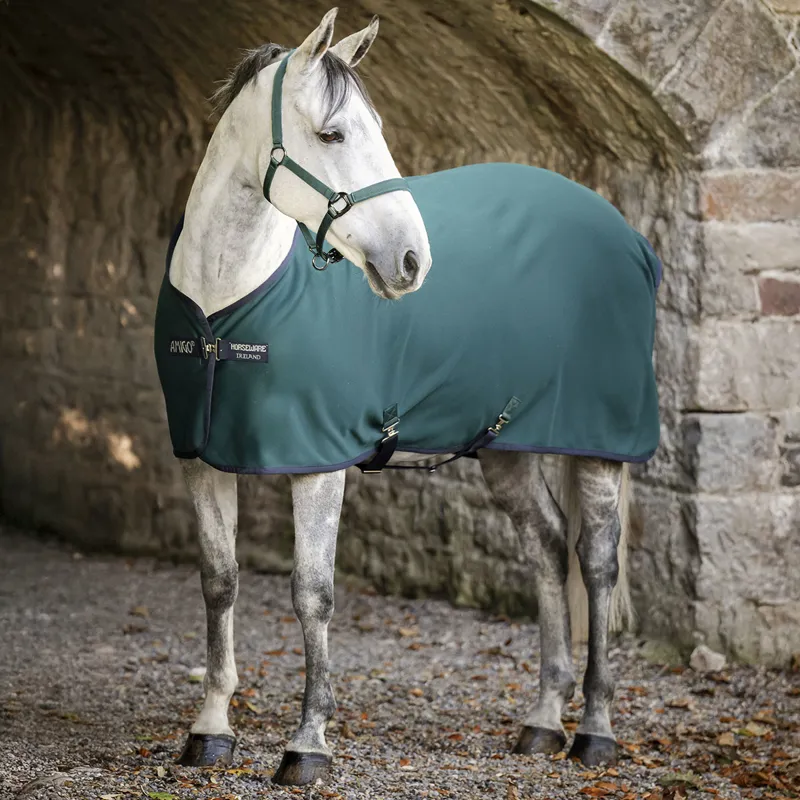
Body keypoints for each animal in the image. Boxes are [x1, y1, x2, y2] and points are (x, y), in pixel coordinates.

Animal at [156, 8, 661, 787]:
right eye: (333, 134)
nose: (412, 262)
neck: (227, 302)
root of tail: (627, 235)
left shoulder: (318, 464)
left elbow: (312, 593)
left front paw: (308, 744)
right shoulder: (201, 459)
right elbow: (219, 583)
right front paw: (210, 730)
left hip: (599, 446)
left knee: (597, 564)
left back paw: (595, 733)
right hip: (506, 446)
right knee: (547, 547)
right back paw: (542, 721)